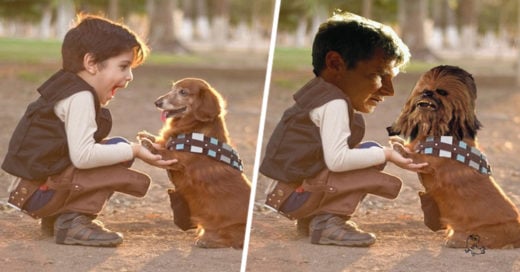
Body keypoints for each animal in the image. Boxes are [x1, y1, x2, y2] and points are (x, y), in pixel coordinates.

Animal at [138, 77, 252, 249]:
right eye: (172, 89)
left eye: (183, 92)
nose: (157, 102)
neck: (194, 128)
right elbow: (161, 141)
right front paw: (146, 135)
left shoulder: (176, 158)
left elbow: (162, 151)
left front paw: (148, 144)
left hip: (230, 227)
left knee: (230, 240)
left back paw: (207, 241)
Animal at [390, 65, 520, 249]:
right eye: (423, 89)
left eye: (442, 92)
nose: (426, 93)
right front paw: (398, 141)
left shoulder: (429, 162)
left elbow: (415, 156)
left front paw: (399, 148)